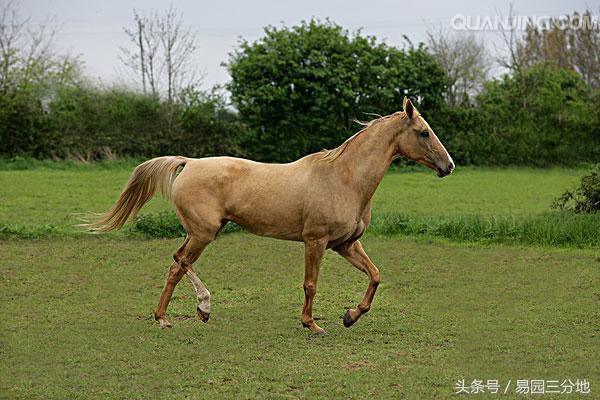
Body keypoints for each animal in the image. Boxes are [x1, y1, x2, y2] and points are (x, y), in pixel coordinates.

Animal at [86, 97, 454, 334]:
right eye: (423, 132)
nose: (448, 166)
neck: (345, 179)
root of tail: (189, 162)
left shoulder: (346, 244)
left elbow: (375, 276)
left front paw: (350, 316)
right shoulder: (315, 241)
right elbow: (310, 284)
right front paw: (312, 324)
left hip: (198, 232)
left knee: (176, 266)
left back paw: (169, 316)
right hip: (204, 233)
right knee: (181, 262)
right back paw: (199, 308)